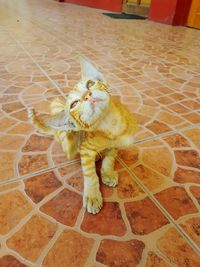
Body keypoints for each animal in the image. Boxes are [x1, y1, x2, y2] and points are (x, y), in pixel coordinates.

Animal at [28, 57, 138, 216]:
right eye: (74, 104)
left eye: (90, 83)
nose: (87, 94)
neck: (111, 125)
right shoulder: (86, 149)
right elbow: (90, 174)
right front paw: (92, 195)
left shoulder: (117, 144)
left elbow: (110, 158)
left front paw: (107, 172)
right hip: (67, 139)